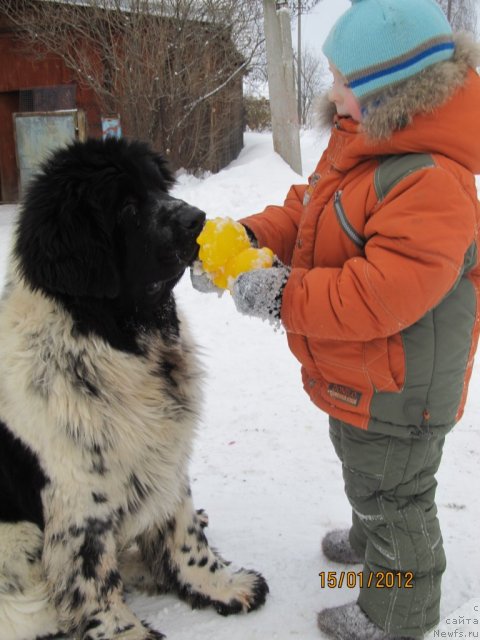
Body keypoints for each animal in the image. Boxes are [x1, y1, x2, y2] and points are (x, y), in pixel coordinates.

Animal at [0, 139, 268, 640]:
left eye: (159, 187)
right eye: (125, 208)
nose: (195, 217)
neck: (117, 341)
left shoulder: (164, 458)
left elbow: (183, 530)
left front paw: (218, 584)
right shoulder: (80, 498)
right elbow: (92, 578)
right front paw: (125, 631)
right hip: (18, 541)